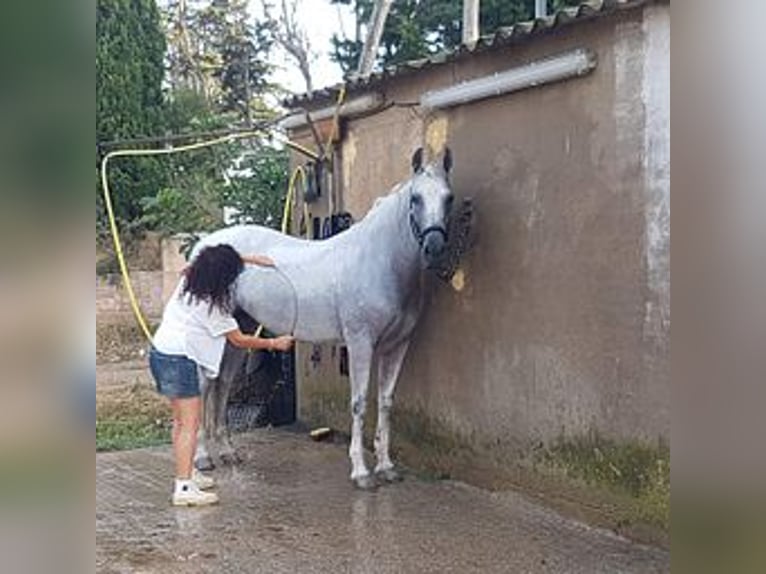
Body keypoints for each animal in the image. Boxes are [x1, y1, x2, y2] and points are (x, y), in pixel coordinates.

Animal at [195, 150, 456, 490]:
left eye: (449, 198)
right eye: (415, 198)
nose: (434, 248)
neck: (379, 261)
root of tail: (206, 244)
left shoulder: (397, 345)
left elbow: (386, 401)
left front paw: (386, 466)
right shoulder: (360, 343)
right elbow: (359, 403)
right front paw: (361, 472)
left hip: (243, 328)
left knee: (223, 382)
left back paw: (228, 452)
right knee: (204, 385)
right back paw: (203, 458)